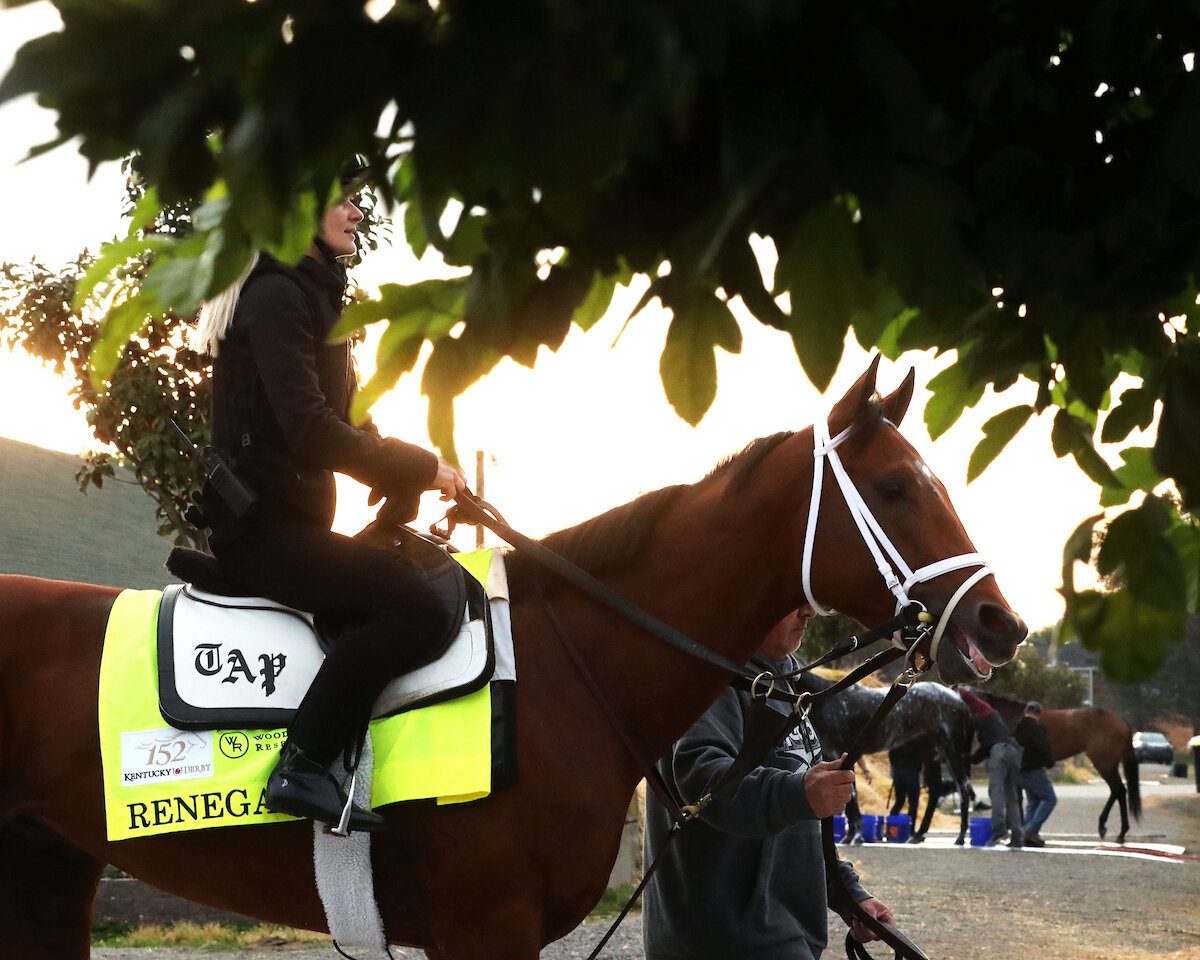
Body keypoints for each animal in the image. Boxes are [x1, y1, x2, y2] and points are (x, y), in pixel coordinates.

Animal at [801, 675, 976, 844]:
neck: (827, 701)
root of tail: (959, 701)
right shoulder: (834, 757)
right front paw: (850, 836)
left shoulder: (842, 753)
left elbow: (852, 796)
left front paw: (857, 836)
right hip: (932, 755)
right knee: (935, 790)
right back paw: (918, 835)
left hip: (951, 750)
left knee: (963, 787)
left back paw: (960, 837)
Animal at [978, 691, 1141, 842]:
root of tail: (1121, 721)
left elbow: (1015, 798)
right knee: (1117, 791)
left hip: (1104, 763)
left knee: (1118, 790)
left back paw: (1114, 831)